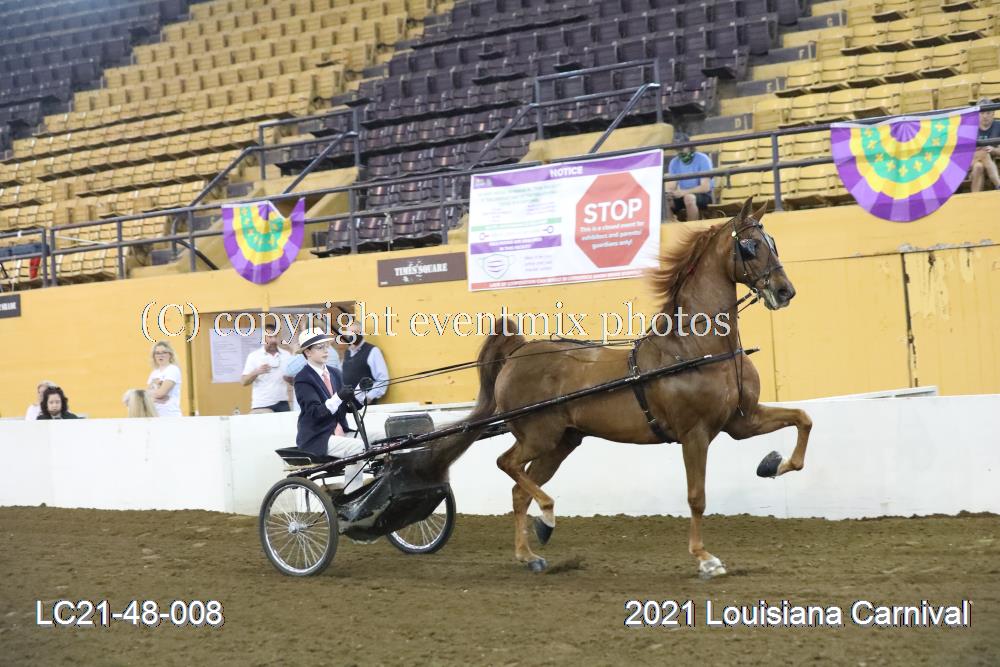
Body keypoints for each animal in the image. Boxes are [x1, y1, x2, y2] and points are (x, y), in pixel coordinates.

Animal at [426, 196, 812, 577]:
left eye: (772, 242)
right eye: (751, 246)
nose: (785, 291)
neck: (696, 349)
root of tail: (519, 351)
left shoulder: (741, 421)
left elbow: (802, 419)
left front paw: (774, 464)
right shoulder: (695, 433)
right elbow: (696, 497)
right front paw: (705, 558)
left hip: (561, 443)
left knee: (519, 489)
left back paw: (530, 553)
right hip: (538, 436)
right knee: (507, 464)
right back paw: (546, 516)